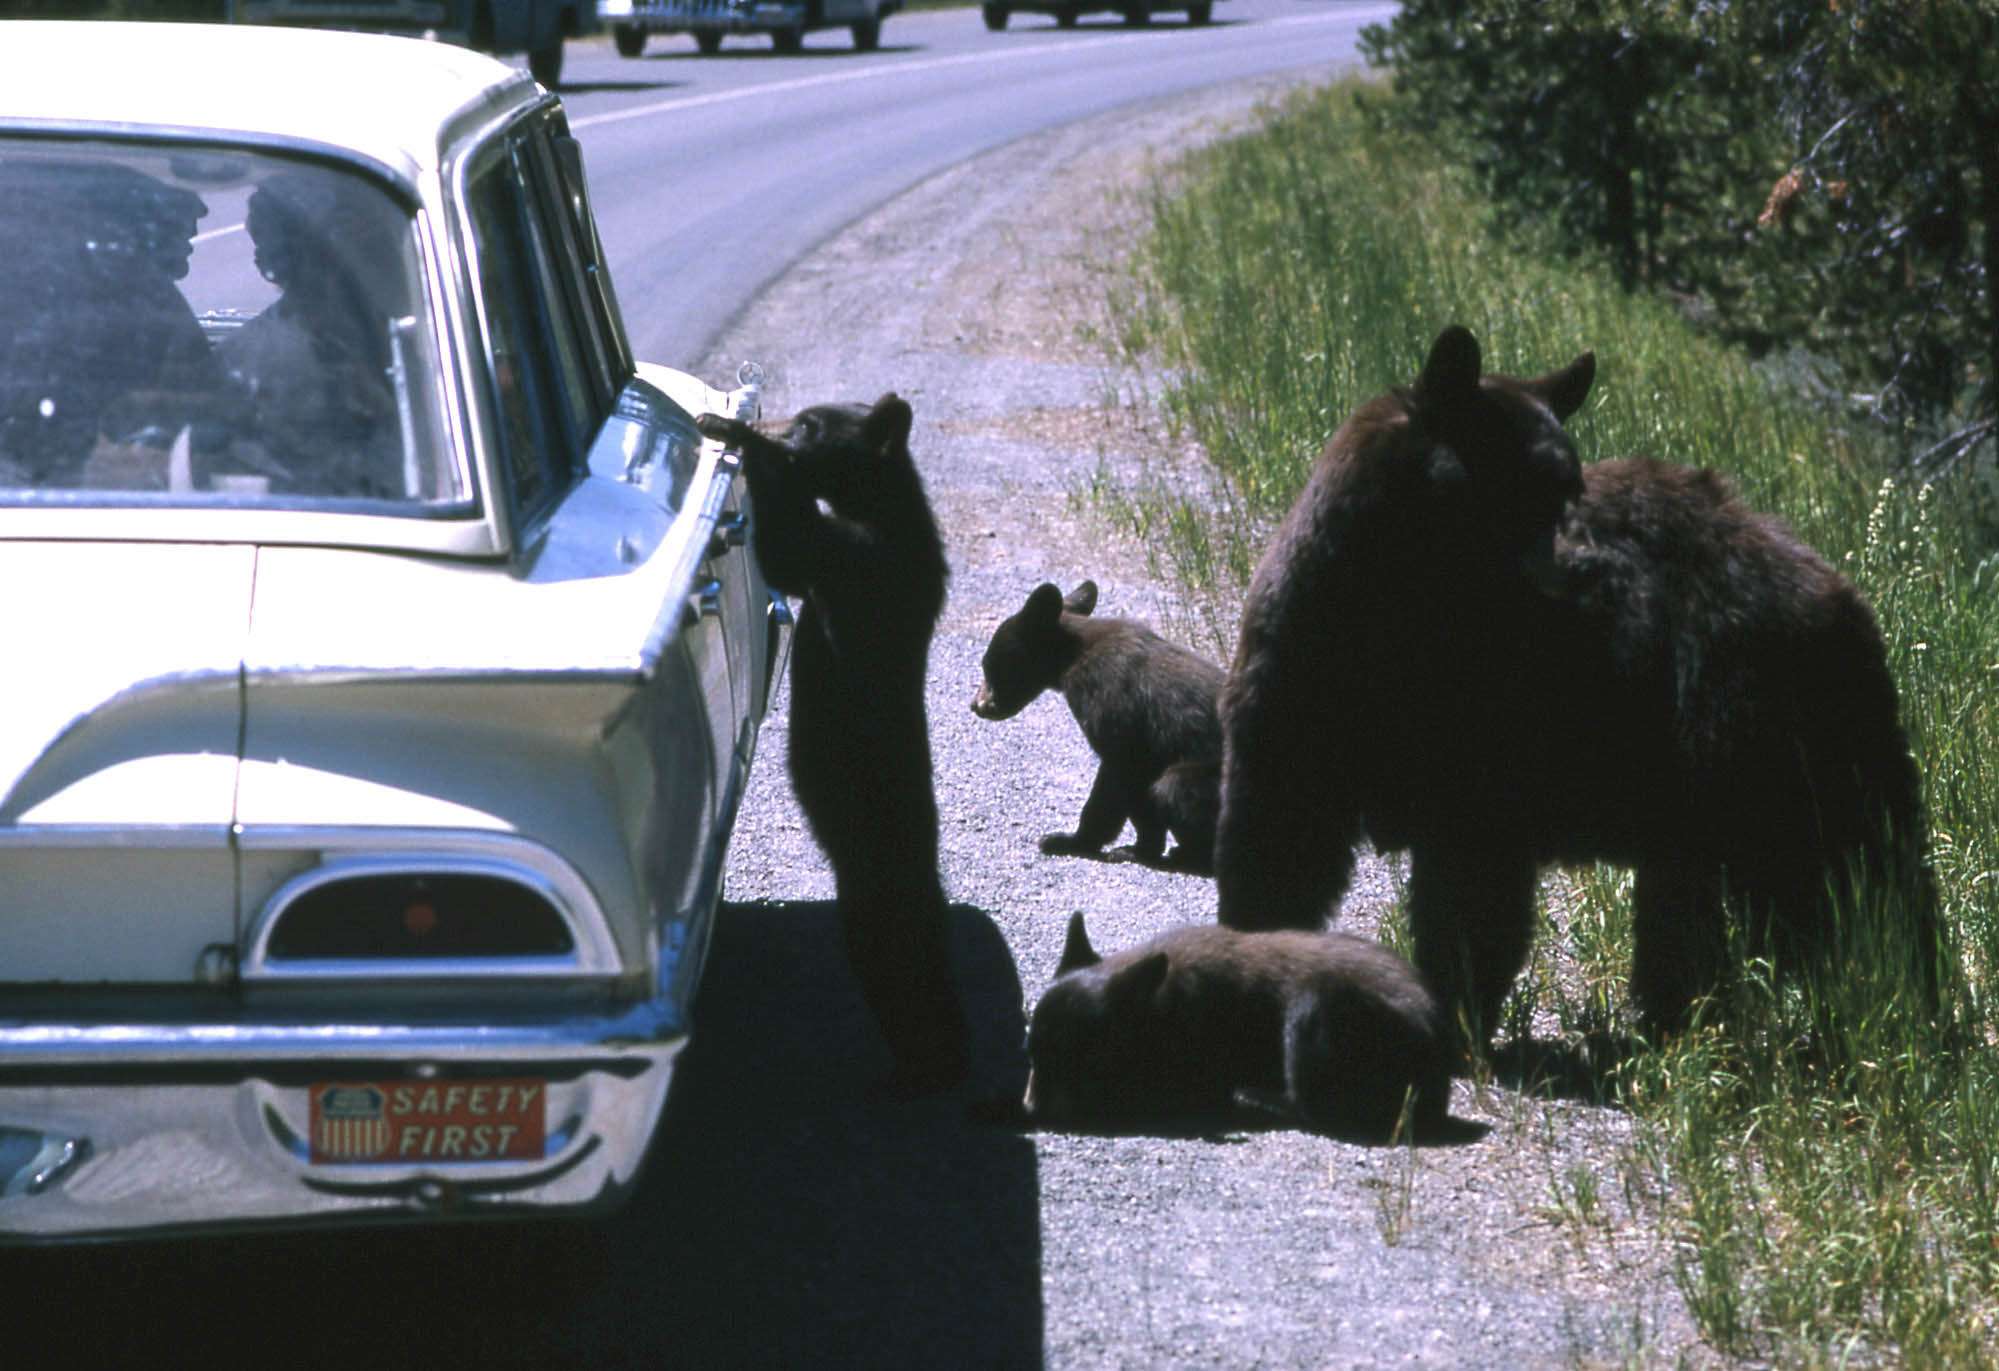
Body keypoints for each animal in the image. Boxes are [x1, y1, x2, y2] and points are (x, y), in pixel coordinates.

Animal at [1207, 327, 1927, 1047]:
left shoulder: (1491, 720)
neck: (1403, 608)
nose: (1586, 566)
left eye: (1569, 484)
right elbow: (1280, 833)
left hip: (1759, 733)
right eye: (1521, 485)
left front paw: (1456, 1008)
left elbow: (1472, 884)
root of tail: (1841, 593)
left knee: (1838, 877)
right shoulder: (1304, 663)